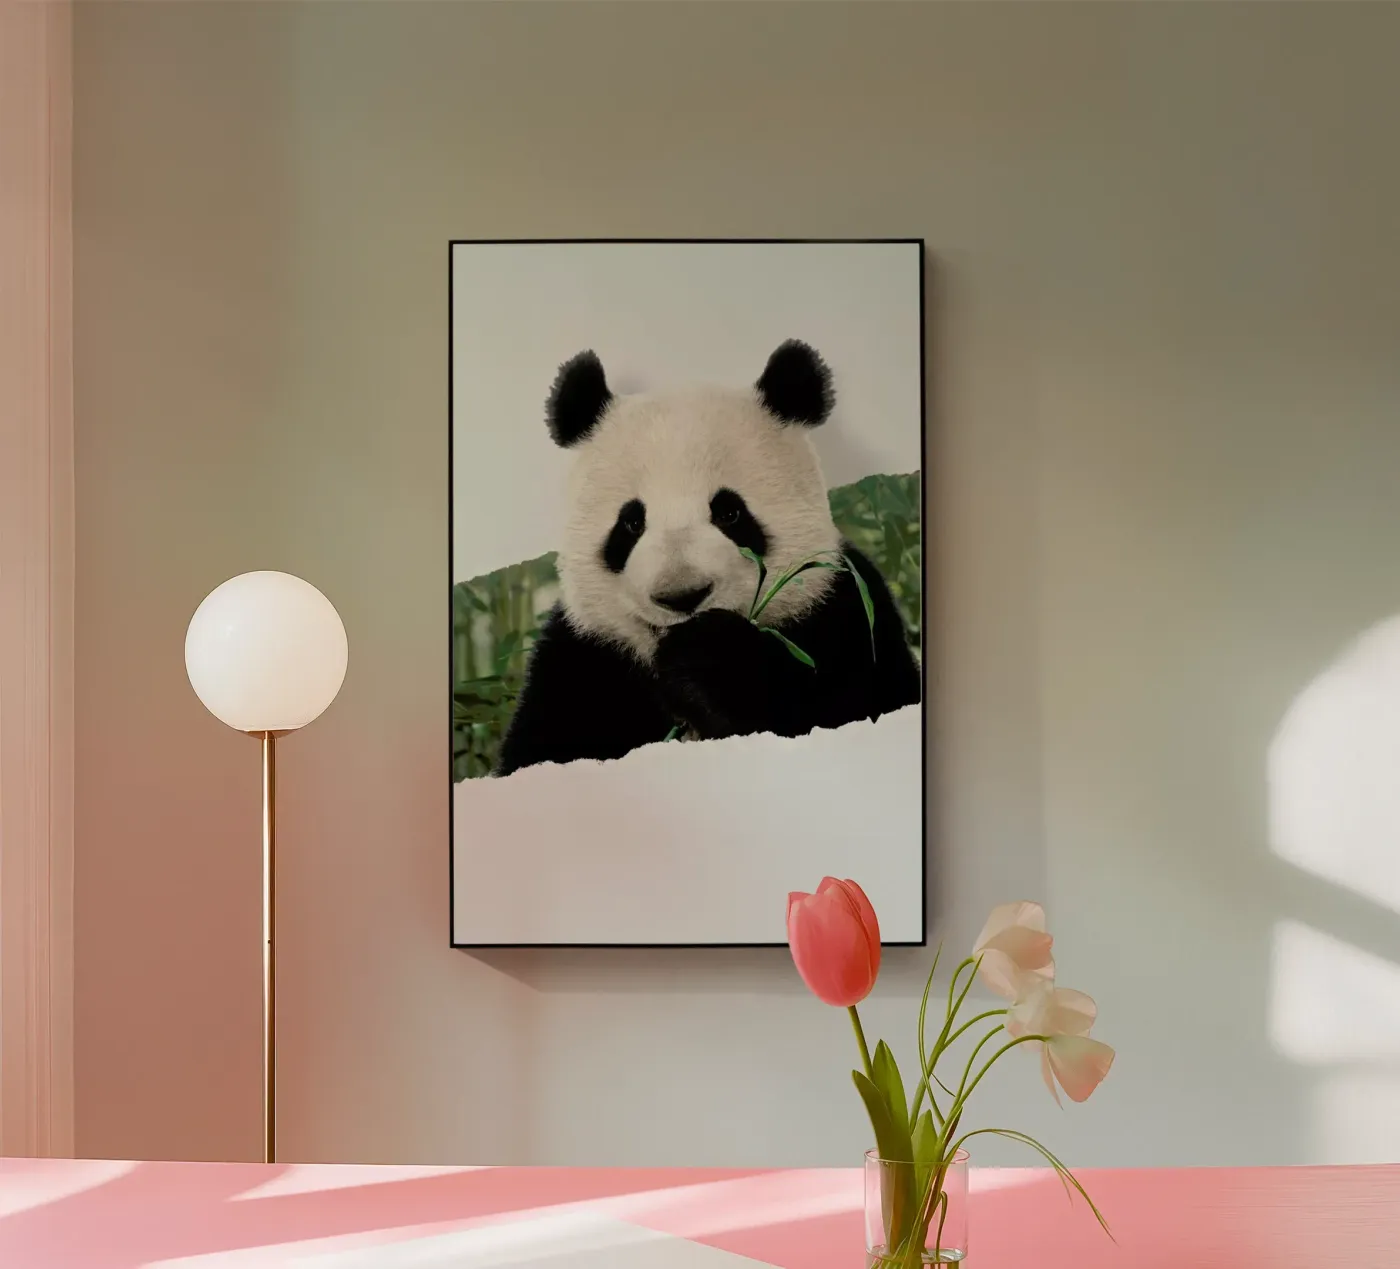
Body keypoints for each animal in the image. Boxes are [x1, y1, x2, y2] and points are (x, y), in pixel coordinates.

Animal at [494, 339, 921, 777]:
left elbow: (856, 701)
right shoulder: (583, 659)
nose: (682, 596)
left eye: (729, 513)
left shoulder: (844, 611)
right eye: (631, 523)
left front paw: (711, 658)